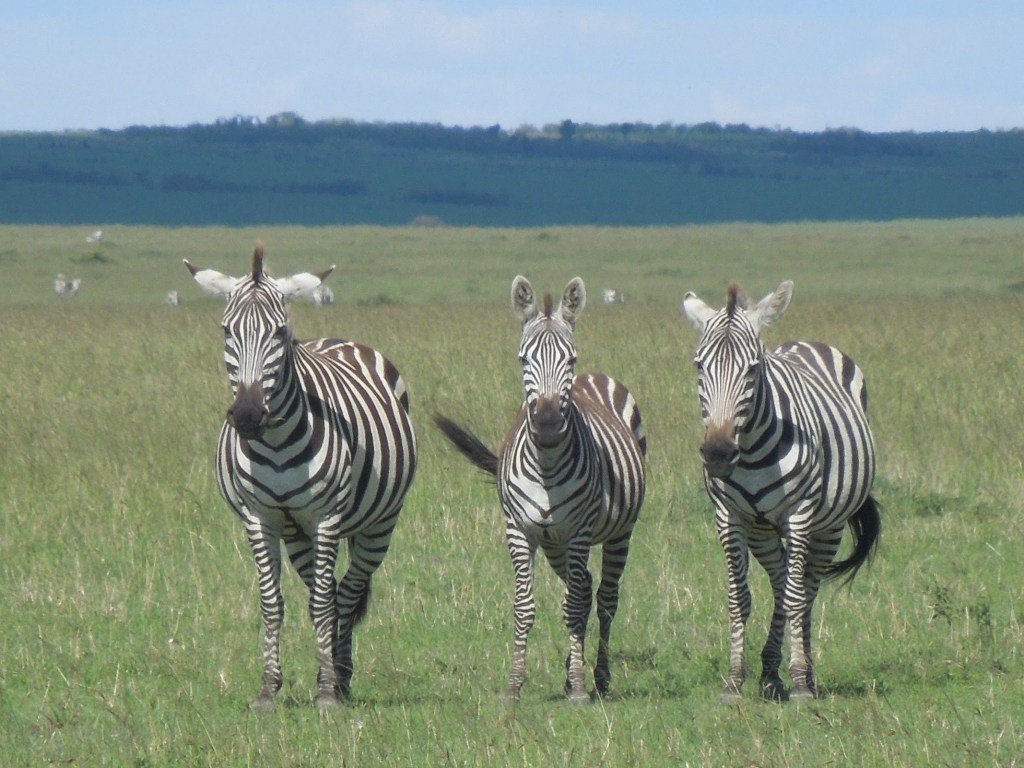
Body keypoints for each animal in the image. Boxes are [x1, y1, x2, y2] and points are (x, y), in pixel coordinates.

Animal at [184, 245, 417, 710]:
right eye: (226, 331)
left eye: (278, 332)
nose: (247, 415)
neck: (275, 443)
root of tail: (337, 340)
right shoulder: (259, 519)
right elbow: (272, 603)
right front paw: (268, 688)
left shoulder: (326, 517)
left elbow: (327, 603)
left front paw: (326, 691)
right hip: (296, 533)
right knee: (322, 593)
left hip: (379, 525)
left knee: (345, 592)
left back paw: (340, 677)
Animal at [434, 276, 646, 703]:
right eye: (523, 360)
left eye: (570, 359)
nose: (547, 424)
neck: (547, 464)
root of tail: (597, 377)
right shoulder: (520, 531)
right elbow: (525, 607)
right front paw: (515, 684)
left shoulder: (578, 531)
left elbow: (575, 607)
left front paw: (579, 687)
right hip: (554, 545)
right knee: (584, 589)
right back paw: (570, 670)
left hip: (618, 532)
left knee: (604, 598)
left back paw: (598, 676)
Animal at [681, 280, 880, 703]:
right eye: (699, 366)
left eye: (753, 369)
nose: (718, 454)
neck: (752, 449)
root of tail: (806, 342)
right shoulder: (729, 517)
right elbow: (739, 598)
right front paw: (734, 681)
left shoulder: (799, 514)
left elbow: (796, 596)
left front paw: (801, 682)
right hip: (762, 531)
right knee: (781, 581)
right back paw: (771, 673)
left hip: (827, 526)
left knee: (805, 590)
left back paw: (807, 675)